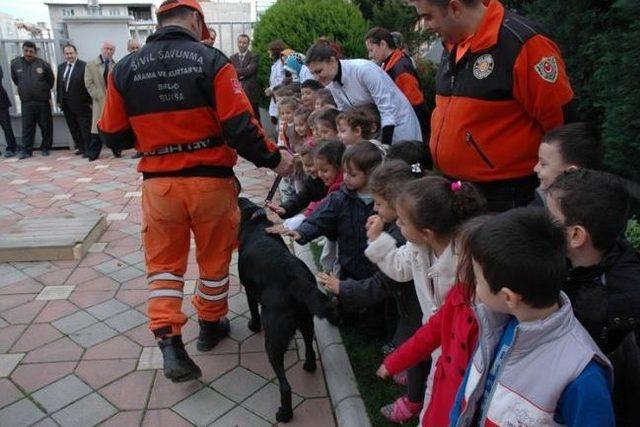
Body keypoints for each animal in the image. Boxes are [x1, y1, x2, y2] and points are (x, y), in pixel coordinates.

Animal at [238, 198, 340, 424]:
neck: (256, 223)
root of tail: (296, 280)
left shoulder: (249, 291)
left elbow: (253, 310)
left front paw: (253, 326)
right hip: (306, 320)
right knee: (310, 345)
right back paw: (309, 366)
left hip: (274, 338)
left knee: (285, 385)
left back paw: (285, 413)